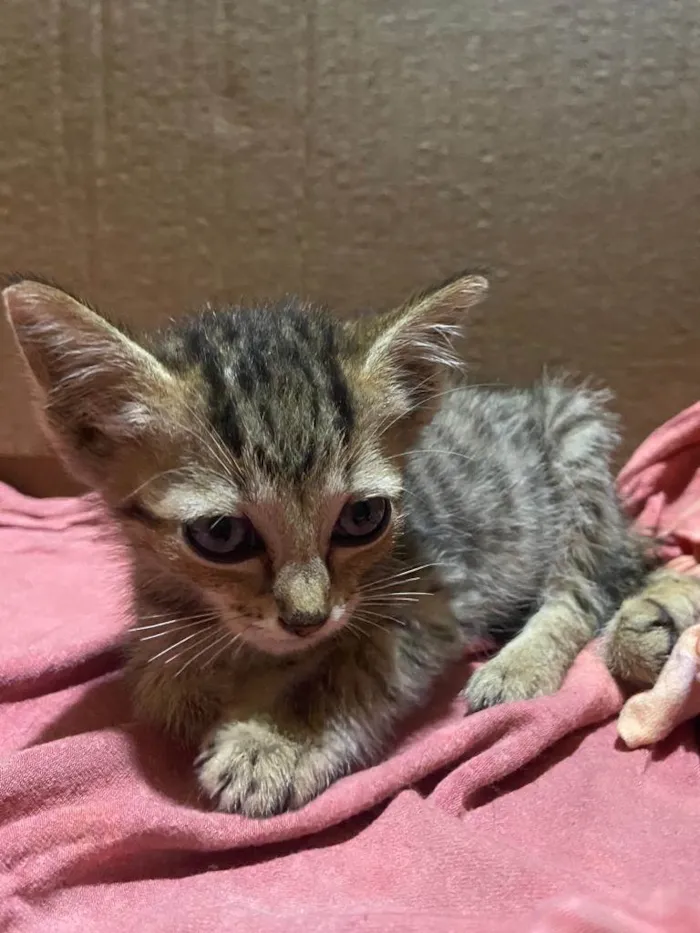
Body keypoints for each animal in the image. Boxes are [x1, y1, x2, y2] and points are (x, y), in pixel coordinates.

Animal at [5, 272, 700, 816]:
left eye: (363, 517)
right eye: (221, 535)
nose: (307, 617)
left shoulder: (431, 598)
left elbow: (350, 664)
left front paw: (278, 740)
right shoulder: (157, 634)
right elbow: (165, 685)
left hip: (578, 435)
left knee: (589, 584)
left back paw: (525, 661)